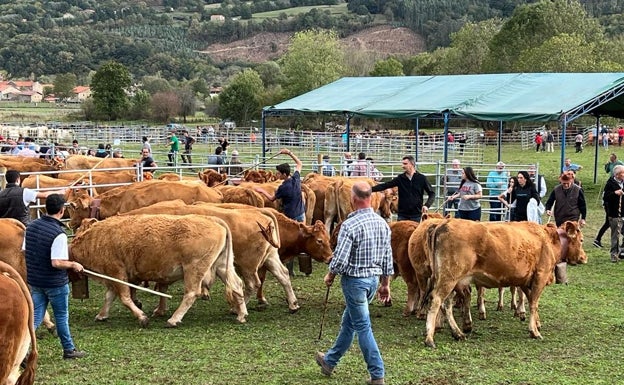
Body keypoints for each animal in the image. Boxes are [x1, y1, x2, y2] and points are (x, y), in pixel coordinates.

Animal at [70, 214, 246, 326]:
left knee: (191, 293)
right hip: (222, 266)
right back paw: (241, 315)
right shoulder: (113, 278)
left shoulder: (117, 273)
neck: (95, 238)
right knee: (237, 285)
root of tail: (214, 220)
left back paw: (173, 320)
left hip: (194, 269)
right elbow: (109, 297)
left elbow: (125, 298)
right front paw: (101, 315)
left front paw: (142, 317)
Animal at [120, 201, 300, 312]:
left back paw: (236, 308)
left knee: (251, 284)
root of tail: (260, 213)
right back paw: (293, 304)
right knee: (283, 275)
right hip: (270, 258)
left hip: (248, 265)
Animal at [422, 218, 588, 346]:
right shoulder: (540, 276)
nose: (584, 257)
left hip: (452, 281)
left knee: (446, 304)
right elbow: (534, 304)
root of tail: (443, 224)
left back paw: (458, 333)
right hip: (449, 278)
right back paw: (430, 338)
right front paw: (534, 331)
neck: (548, 240)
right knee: (436, 300)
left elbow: (529, 300)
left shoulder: (525, 281)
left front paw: (535, 323)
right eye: (581, 240)